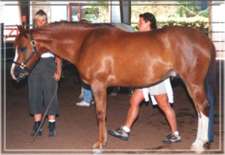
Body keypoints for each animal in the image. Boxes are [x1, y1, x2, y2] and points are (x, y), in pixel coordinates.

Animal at [11, 22, 216, 153]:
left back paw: (199, 144)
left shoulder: (99, 85)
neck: (84, 42)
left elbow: (101, 114)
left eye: (22, 48)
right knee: (199, 111)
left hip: (193, 82)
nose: (14, 73)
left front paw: (100, 144)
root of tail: (205, 41)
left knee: (203, 108)